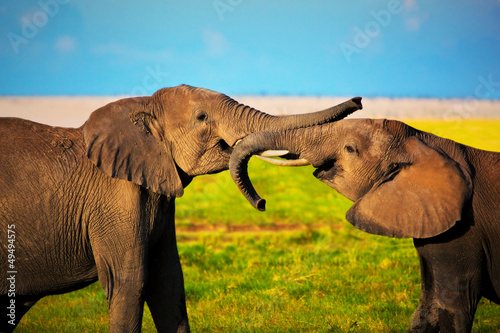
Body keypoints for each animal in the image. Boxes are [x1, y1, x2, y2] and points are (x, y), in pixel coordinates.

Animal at [0, 86, 362, 332]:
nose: (359, 100)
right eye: (202, 118)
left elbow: (169, 280)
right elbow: (130, 280)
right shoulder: (115, 199)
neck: (142, 108)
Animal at [229, 117, 500, 332]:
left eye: (350, 148)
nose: (262, 203)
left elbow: (453, 307)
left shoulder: (464, 231)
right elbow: (427, 311)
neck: (425, 143)